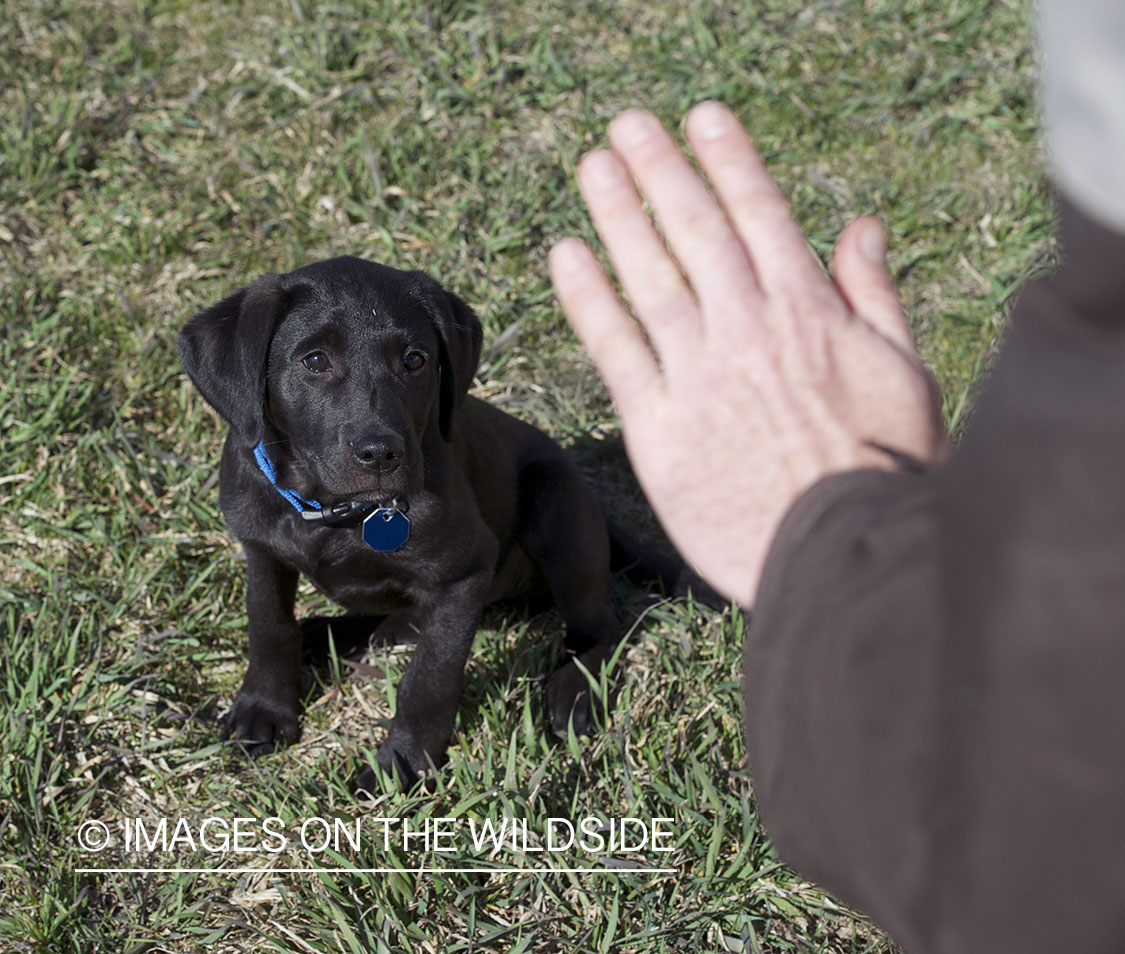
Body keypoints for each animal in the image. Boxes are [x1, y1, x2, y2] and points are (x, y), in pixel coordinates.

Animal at [182, 257, 711, 787]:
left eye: (415, 360)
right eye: (314, 361)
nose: (382, 454)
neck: (333, 512)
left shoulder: (465, 572)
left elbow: (430, 678)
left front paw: (402, 763)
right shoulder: (261, 549)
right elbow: (268, 624)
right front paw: (264, 709)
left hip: (558, 509)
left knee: (602, 623)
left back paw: (573, 691)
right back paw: (333, 633)